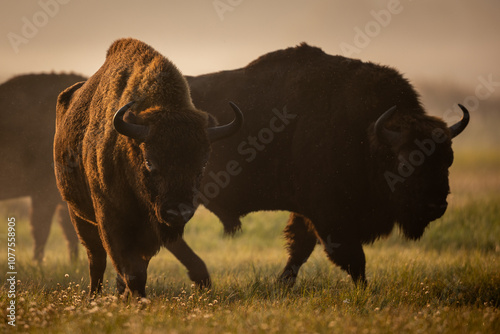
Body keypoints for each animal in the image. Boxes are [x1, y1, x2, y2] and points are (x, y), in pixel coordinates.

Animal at [53, 37, 243, 296]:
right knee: (96, 260)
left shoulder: (151, 232)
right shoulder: (112, 222)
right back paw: (94, 297)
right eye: (149, 162)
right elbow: (130, 269)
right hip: (78, 215)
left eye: (202, 165)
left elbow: (138, 268)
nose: (177, 212)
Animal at [184, 43, 468, 286]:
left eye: (448, 159)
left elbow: (301, 247)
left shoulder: (307, 212)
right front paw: (364, 290)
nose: (436, 205)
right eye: (407, 163)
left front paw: (282, 285)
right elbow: (352, 258)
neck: (367, 134)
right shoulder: (329, 217)